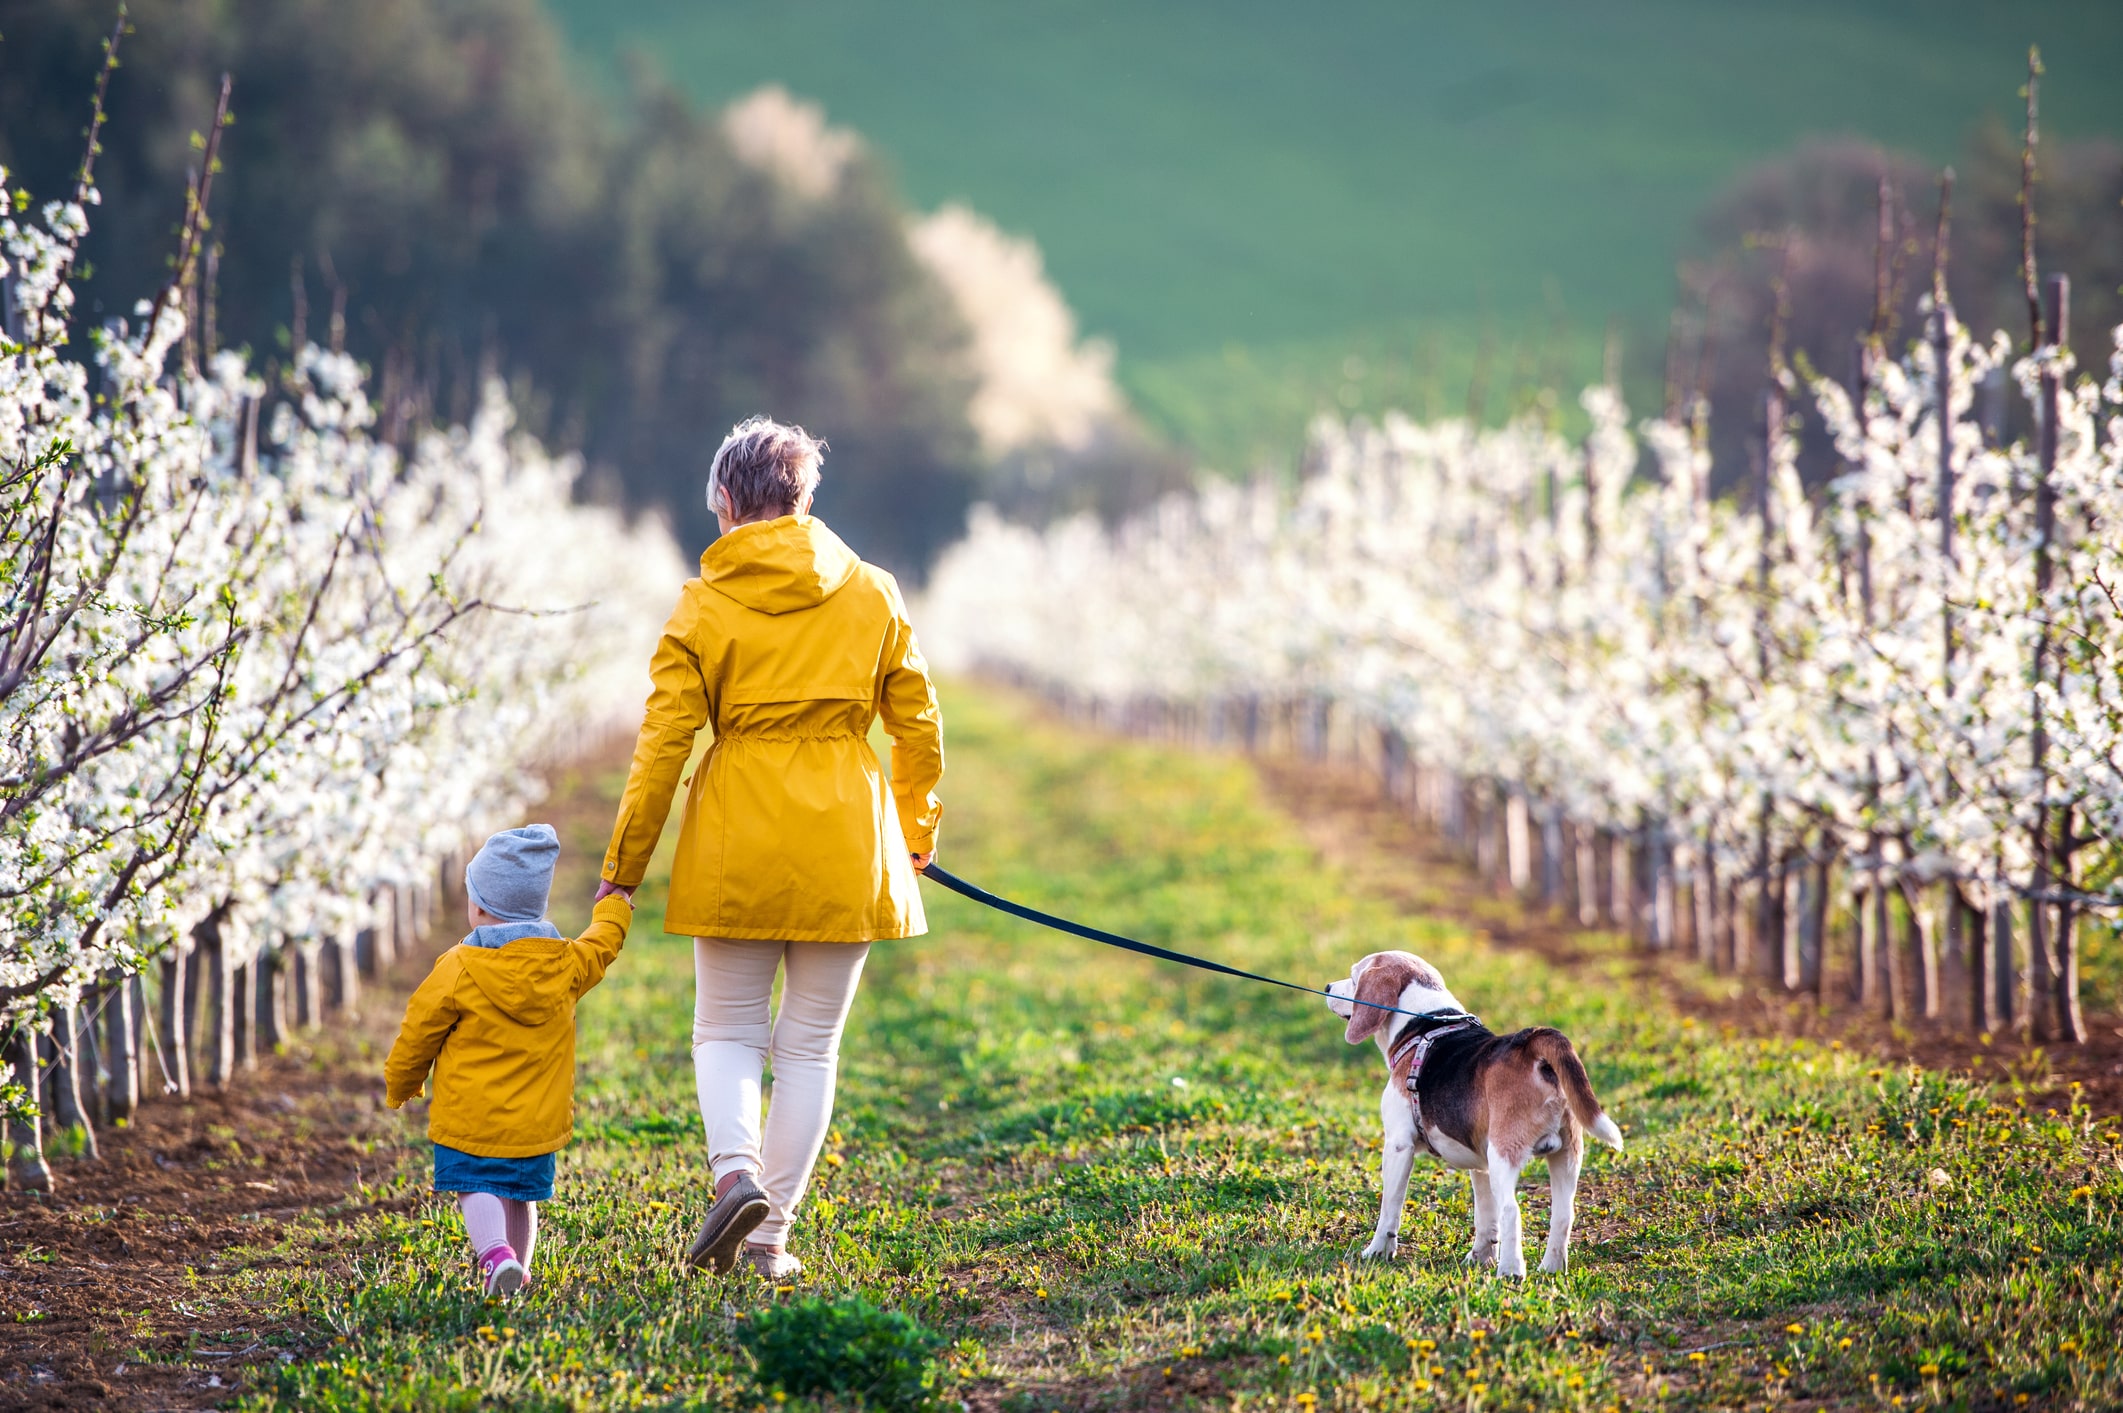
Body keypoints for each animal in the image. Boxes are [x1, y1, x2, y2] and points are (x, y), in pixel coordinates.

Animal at [1324, 950, 1621, 1272]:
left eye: (1354, 977)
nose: (1327, 987)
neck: (1421, 1023)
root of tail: (1531, 1047)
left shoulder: (1398, 1146)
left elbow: (1390, 1209)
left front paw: (1378, 1252)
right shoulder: (1481, 1164)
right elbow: (1485, 1218)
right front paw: (1481, 1257)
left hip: (1504, 1153)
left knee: (1511, 1211)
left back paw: (1511, 1271)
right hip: (1567, 1155)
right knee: (1563, 1215)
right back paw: (1549, 1269)